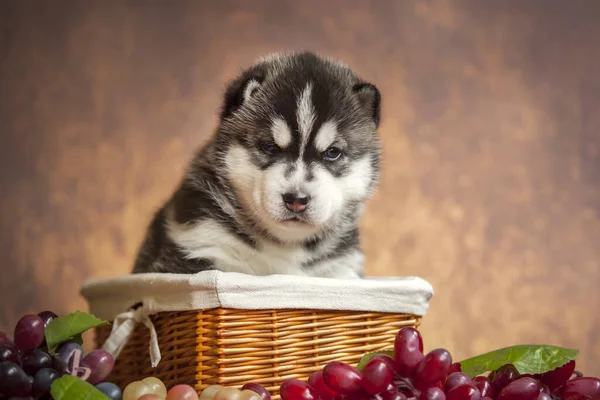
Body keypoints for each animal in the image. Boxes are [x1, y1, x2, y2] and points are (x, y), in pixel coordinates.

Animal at [133, 51, 382, 278]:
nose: (296, 200)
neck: (284, 247)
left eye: (332, 153)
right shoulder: (198, 244)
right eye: (270, 147)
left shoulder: (341, 268)